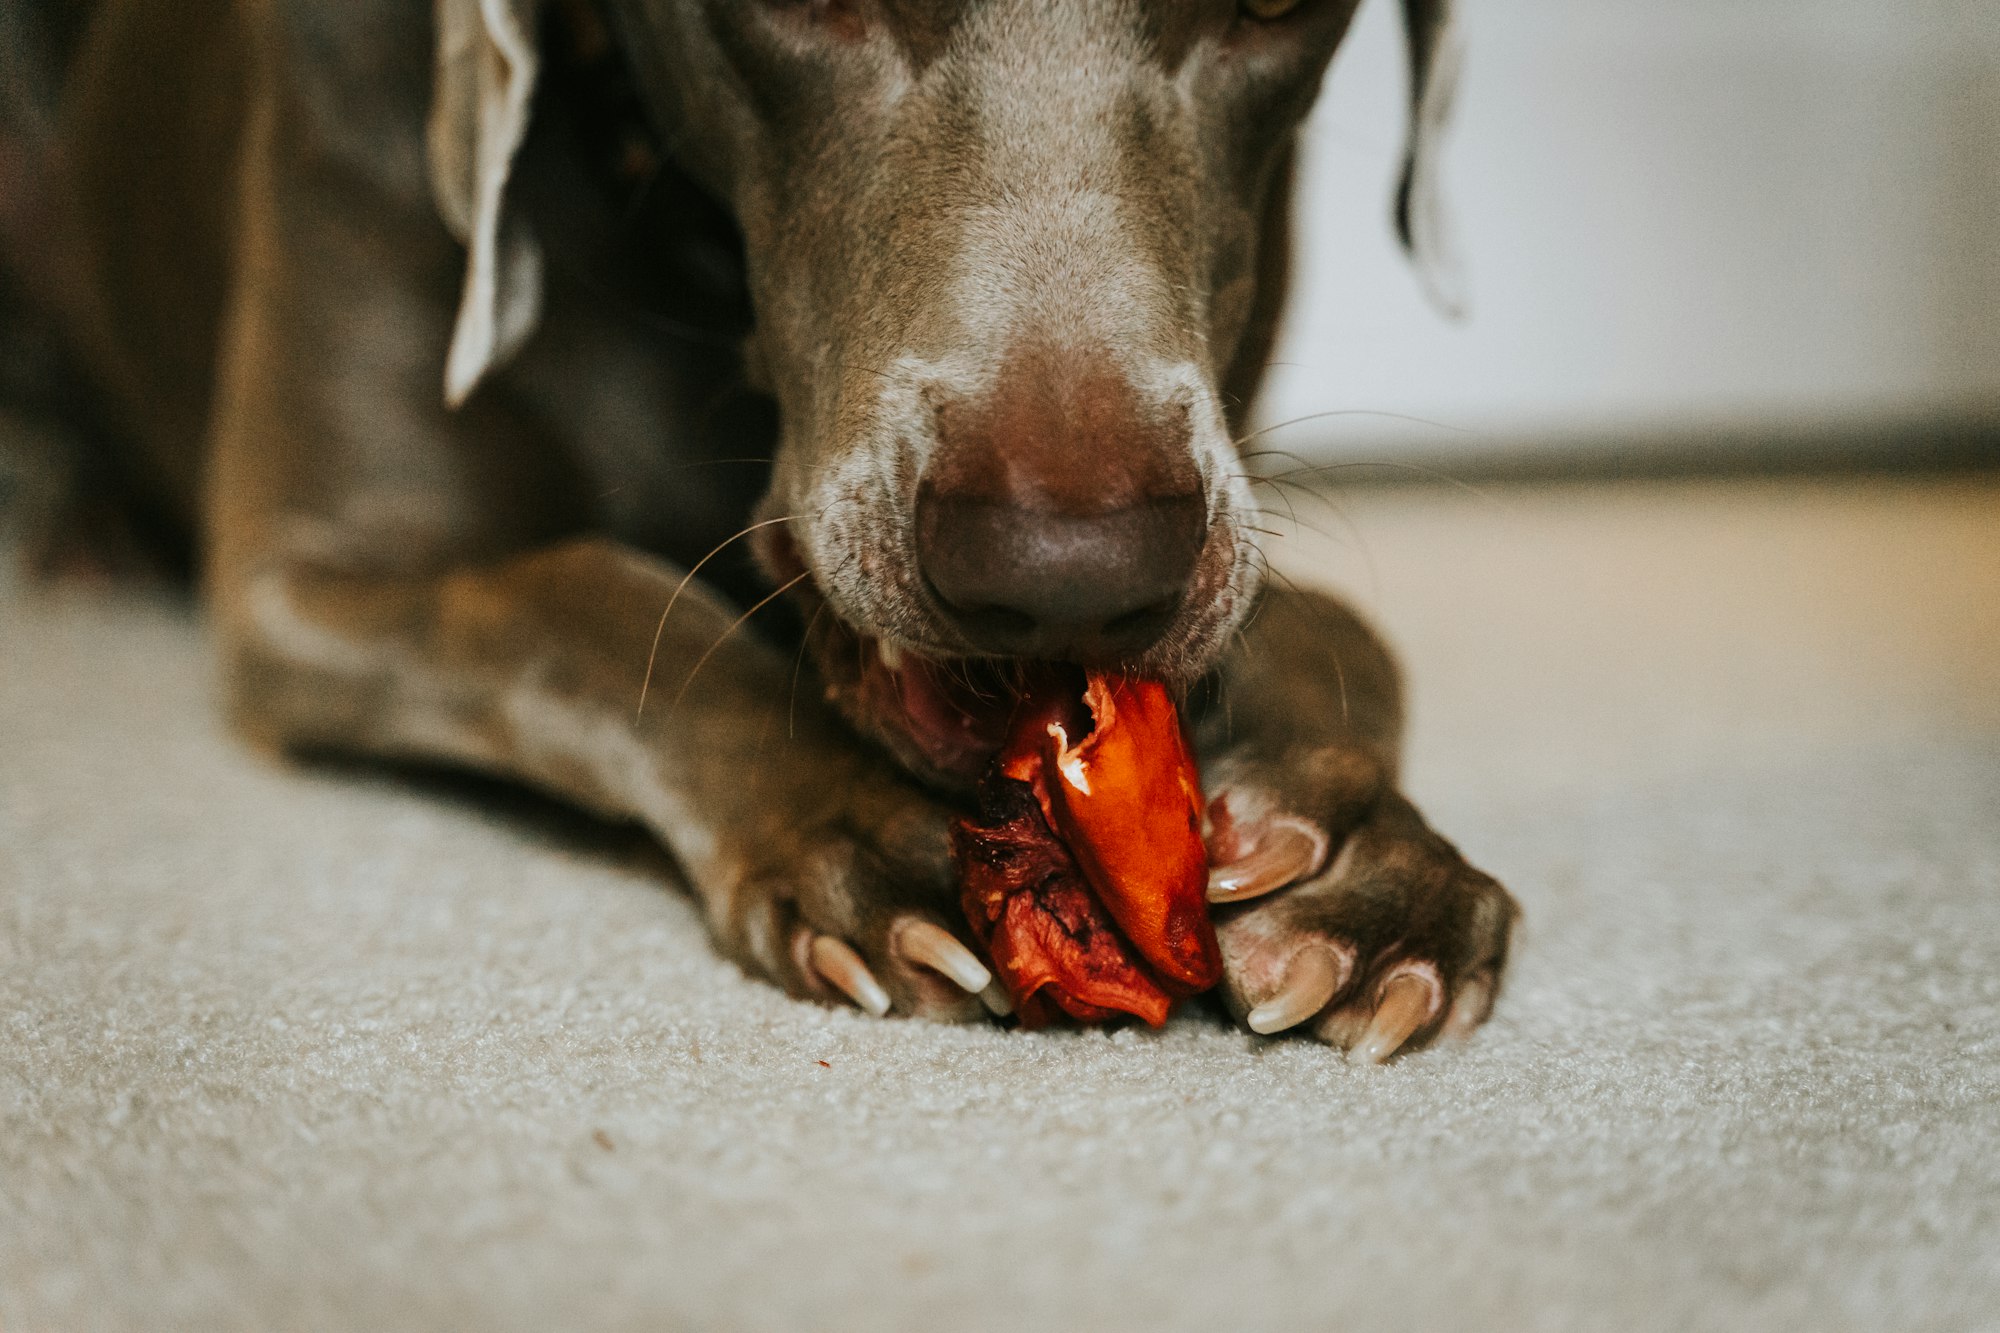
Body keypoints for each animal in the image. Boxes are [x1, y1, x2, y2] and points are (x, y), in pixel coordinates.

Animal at [3, 0, 1512, 1056]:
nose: (1064, 577)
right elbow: (586, 598)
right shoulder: (304, 578)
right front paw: (851, 823)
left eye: (1272, 0)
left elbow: (1344, 628)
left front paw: (1368, 860)